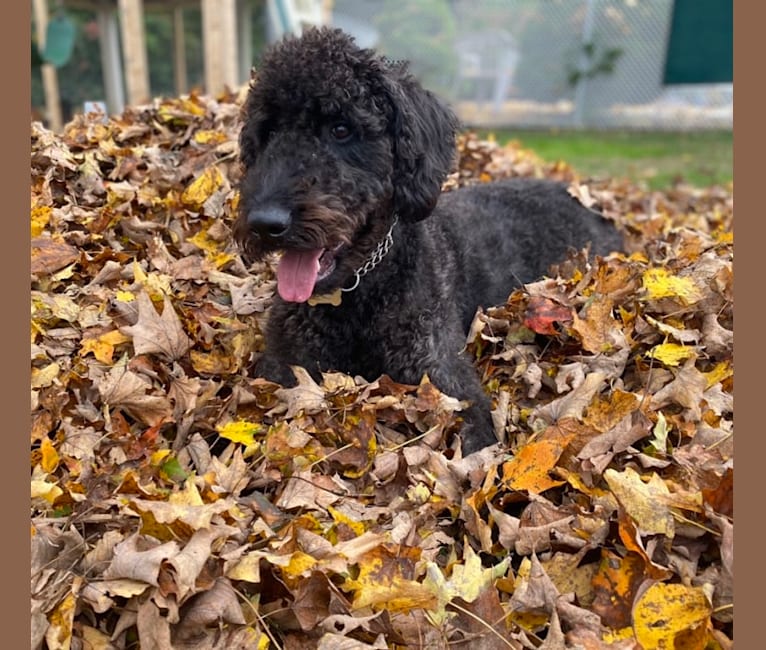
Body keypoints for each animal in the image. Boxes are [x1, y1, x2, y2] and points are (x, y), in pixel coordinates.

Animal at [236, 27, 624, 454]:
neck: (359, 291)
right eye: (269, 131)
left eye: (340, 129)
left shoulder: (442, 374)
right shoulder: (283, 366)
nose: (265, 223)